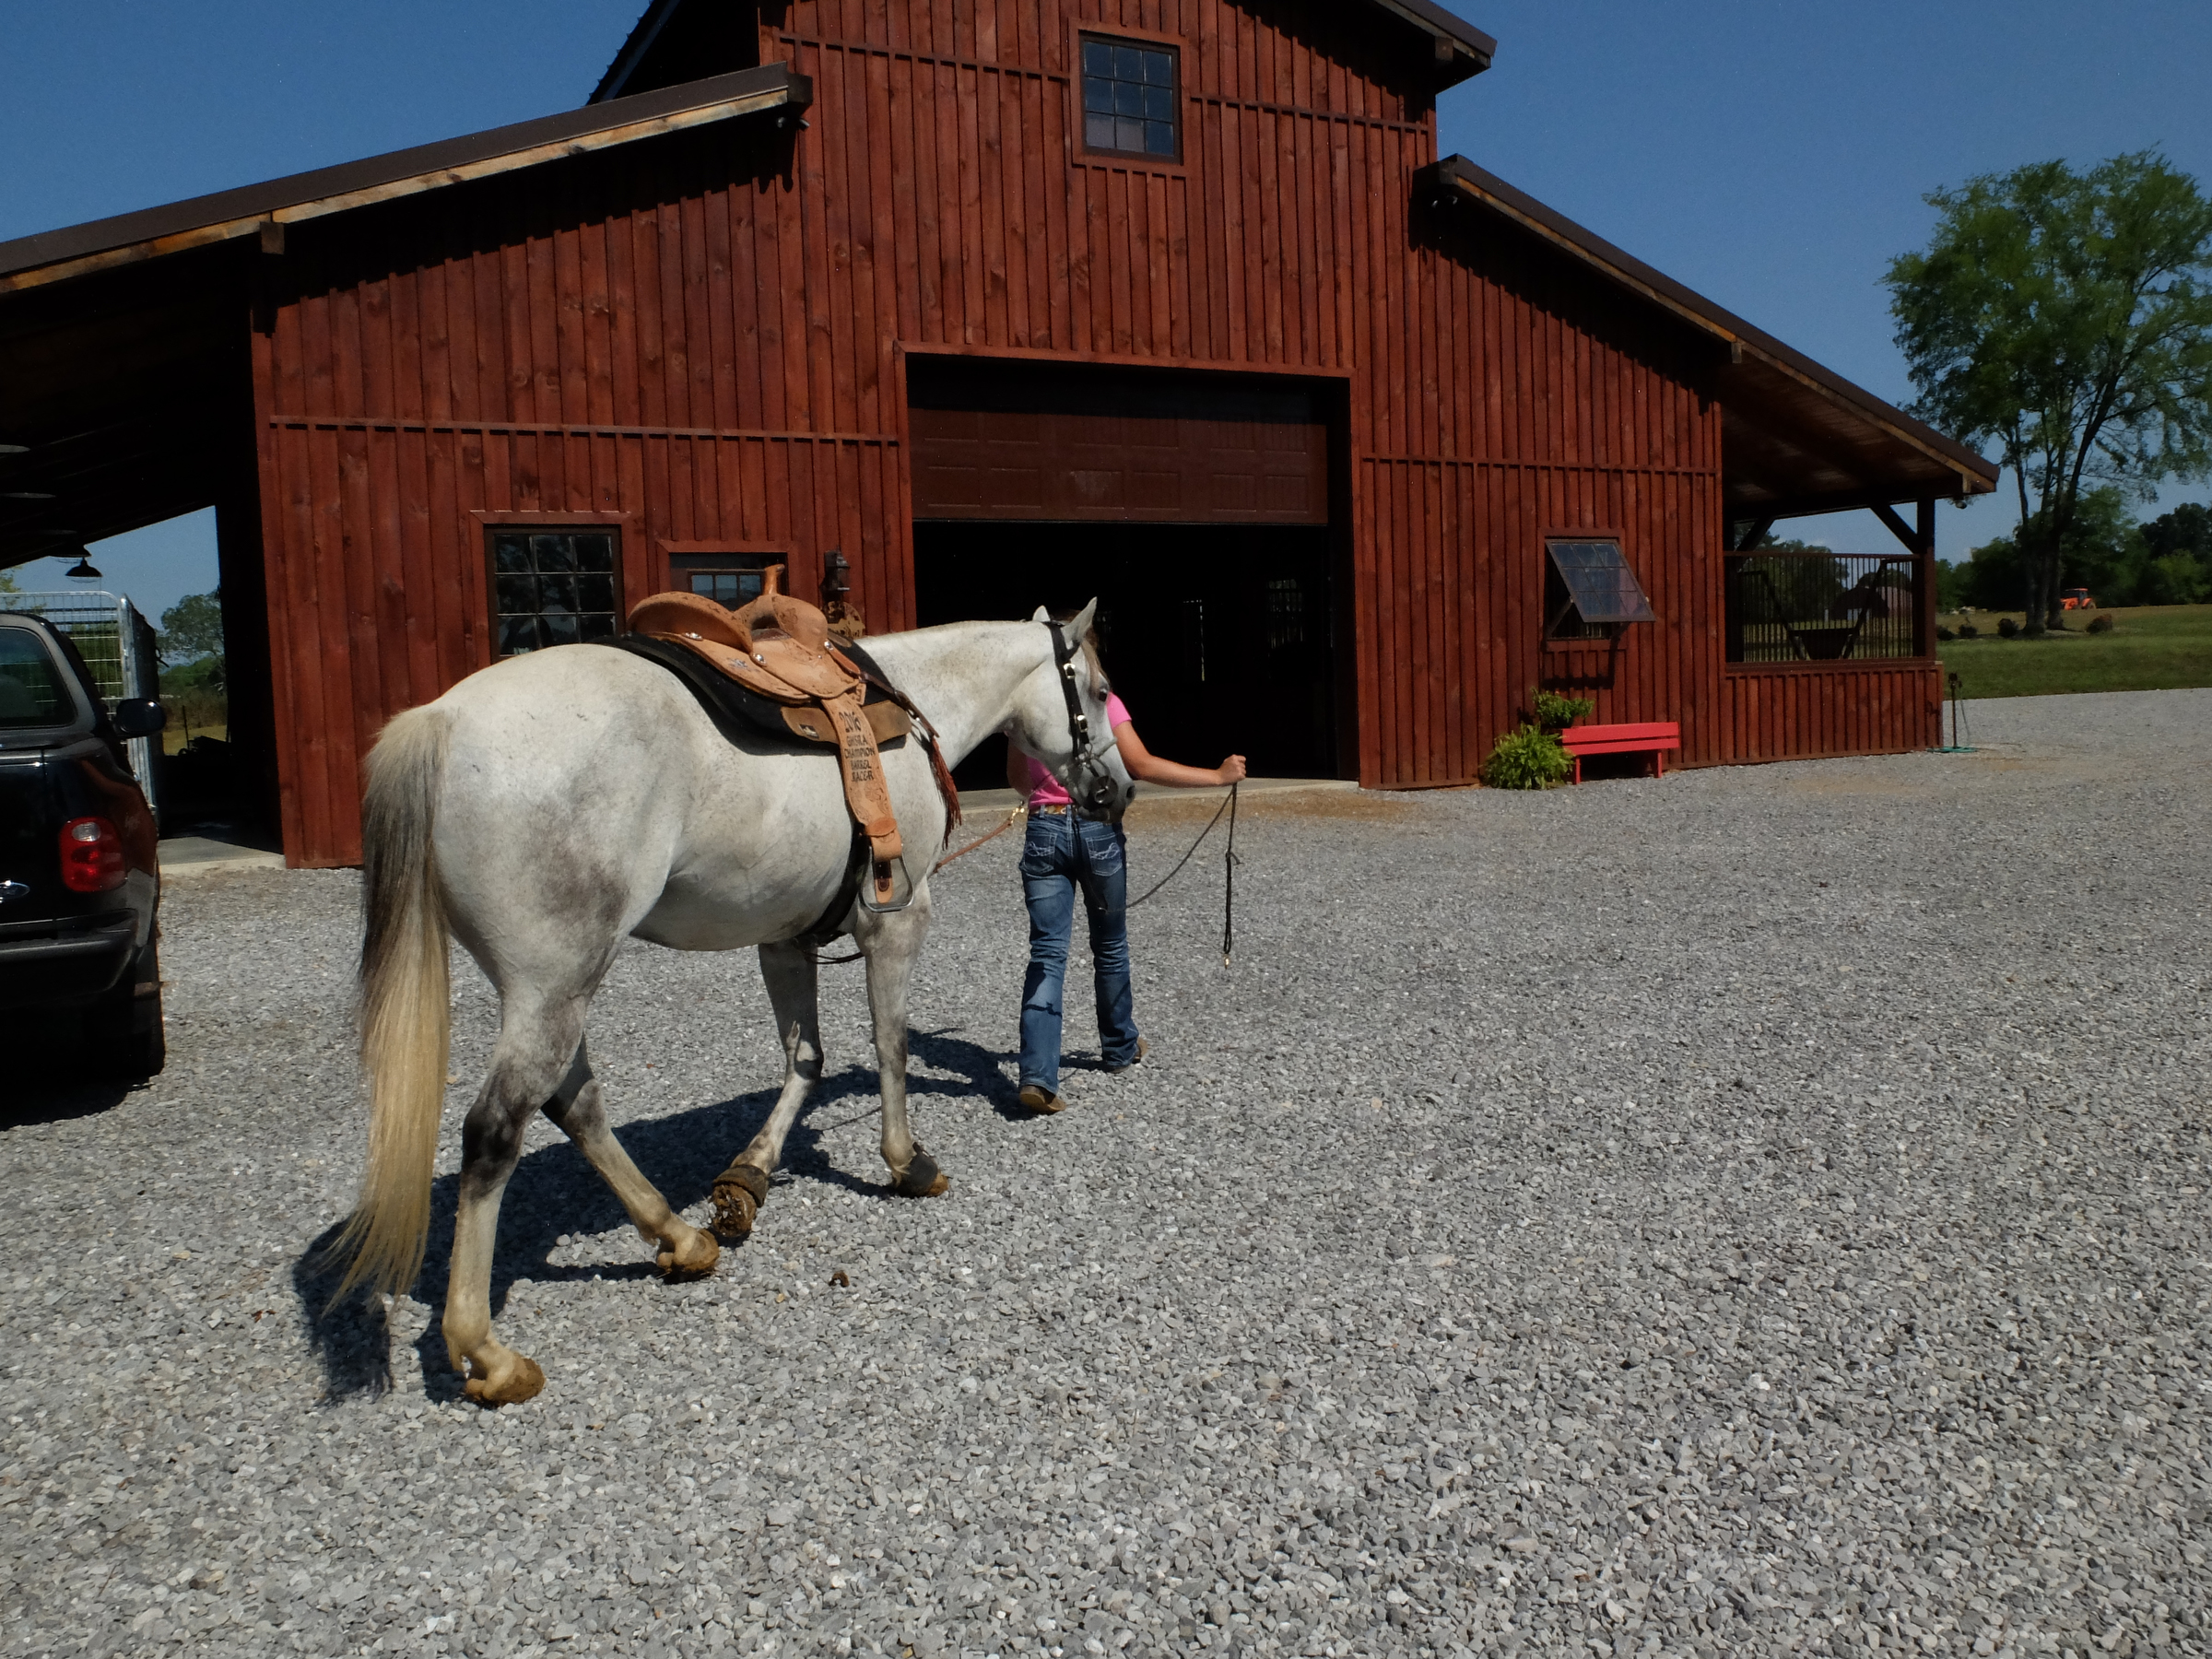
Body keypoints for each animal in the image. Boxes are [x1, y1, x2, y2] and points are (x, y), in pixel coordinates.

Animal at [332, 602, 1133, 1404]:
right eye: (1098, 692)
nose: (1118, 793)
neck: (912, 701)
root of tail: (442, 720)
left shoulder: (784, 937)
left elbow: (805, 1058)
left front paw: (749, 1176)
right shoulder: (899, 919)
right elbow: (891, 1044)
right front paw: (906, 1163)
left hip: (553, 989)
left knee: (575, 1104)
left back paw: (680, 1237)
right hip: (551, 988)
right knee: (496, 1131)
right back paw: (487, 1350)